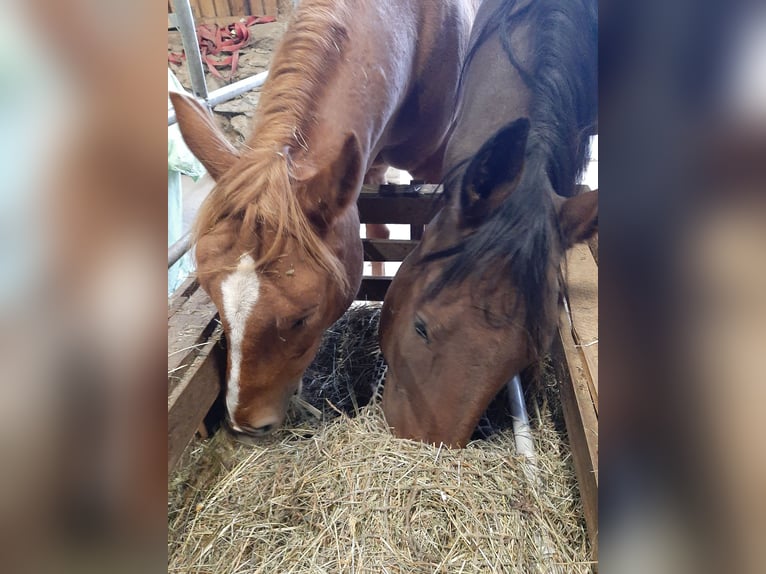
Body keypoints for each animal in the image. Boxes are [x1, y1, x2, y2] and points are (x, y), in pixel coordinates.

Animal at [172, 0, 480, 436]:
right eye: (214, 298)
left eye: (302, 318)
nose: (247, 424)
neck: (418, 29)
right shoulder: (364, 163)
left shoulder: (432, 167)